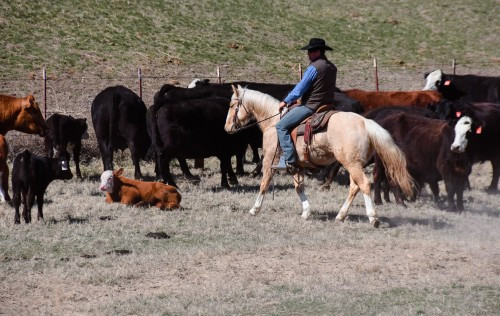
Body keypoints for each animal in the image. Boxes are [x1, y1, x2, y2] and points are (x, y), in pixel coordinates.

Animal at [226, 85, 414, 226]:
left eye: (232, 105)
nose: (227, 128)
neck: (273, 122)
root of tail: (364, 122)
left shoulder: (269, 160)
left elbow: (264, 184)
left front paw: (254, 209)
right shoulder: (296, 165)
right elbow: (299, 187)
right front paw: (306, 212)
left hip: (352, 164)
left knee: (364, 184)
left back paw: (373, 217)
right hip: (354, 164)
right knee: (354, 187)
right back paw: (340, 215)